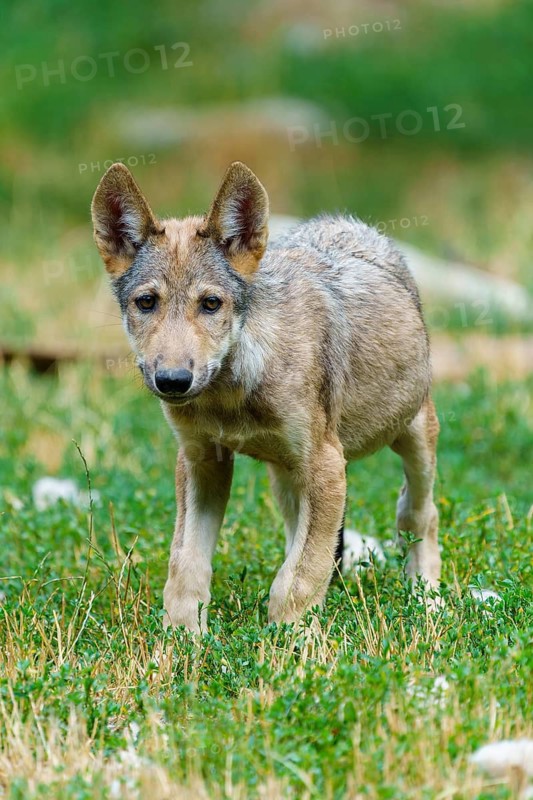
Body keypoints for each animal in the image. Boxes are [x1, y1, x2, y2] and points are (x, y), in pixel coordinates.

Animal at [91, 161, 441, 632]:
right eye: (146, 302)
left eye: (211, 304)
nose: (173, 381)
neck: (231, 395)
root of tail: (346, 221)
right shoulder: (201, 462)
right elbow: (186, 564)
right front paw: (184, 637)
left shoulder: (326, 464)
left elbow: (299, 576)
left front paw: (290, 641)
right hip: (287, 478)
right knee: (306, 534)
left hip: (411, 439)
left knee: (418, 512)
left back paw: (427, 601)